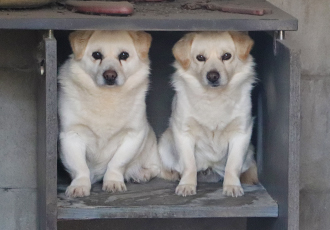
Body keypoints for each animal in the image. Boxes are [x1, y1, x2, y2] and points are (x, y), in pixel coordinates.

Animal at [58, 30, 160, 198]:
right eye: (96, 54)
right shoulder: (71, 136)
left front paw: (113, 182)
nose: (110, 75)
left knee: (154, 167)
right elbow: (80, 167)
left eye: (124, 55)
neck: (107, 98)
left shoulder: (133, 135)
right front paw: (80, 185)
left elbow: (117, 163)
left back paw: (141, 173)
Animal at [159, 31, 260, 197]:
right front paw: (187, 185)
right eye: (200, 57)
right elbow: (189, 165)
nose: (213, 76)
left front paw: (232, 186)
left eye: (226, 56)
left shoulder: (241, 133)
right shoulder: (184, 132)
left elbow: (233, 165)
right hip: (165, 142)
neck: (213, 98)